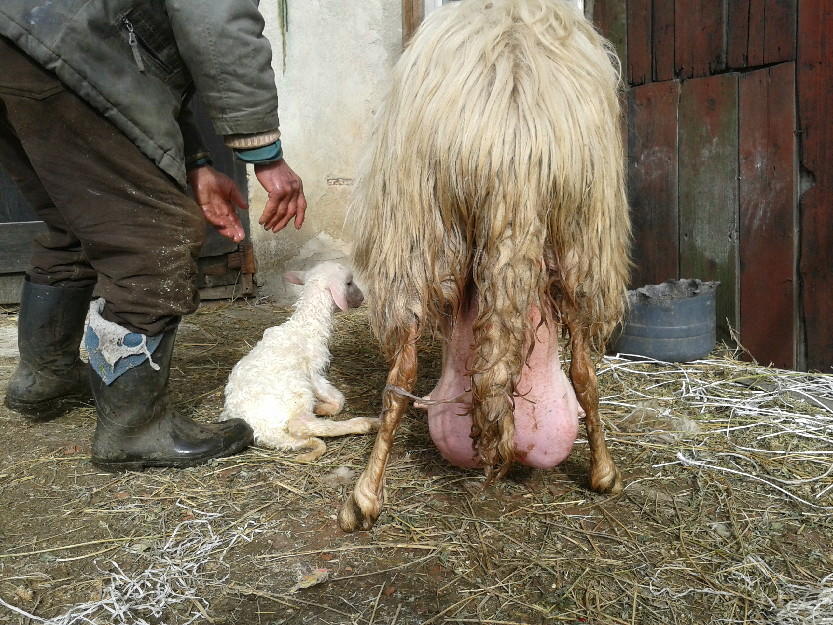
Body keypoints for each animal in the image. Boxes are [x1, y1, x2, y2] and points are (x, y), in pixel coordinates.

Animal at [219, 260, 378, 460]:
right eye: (349, 283)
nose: (362, 298)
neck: (305, 326)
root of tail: (262, 429)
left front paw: (322, 408)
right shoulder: (313, 370)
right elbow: (338, 399)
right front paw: (325, 408)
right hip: (296, 391)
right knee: (301, 425)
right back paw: (368, 423)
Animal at [334, 0, 628, 532]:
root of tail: (515, 139)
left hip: (420, 230)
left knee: (402, 374)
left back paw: (364, 497)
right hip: (579, 235)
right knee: (583, 370)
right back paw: (604, 473)